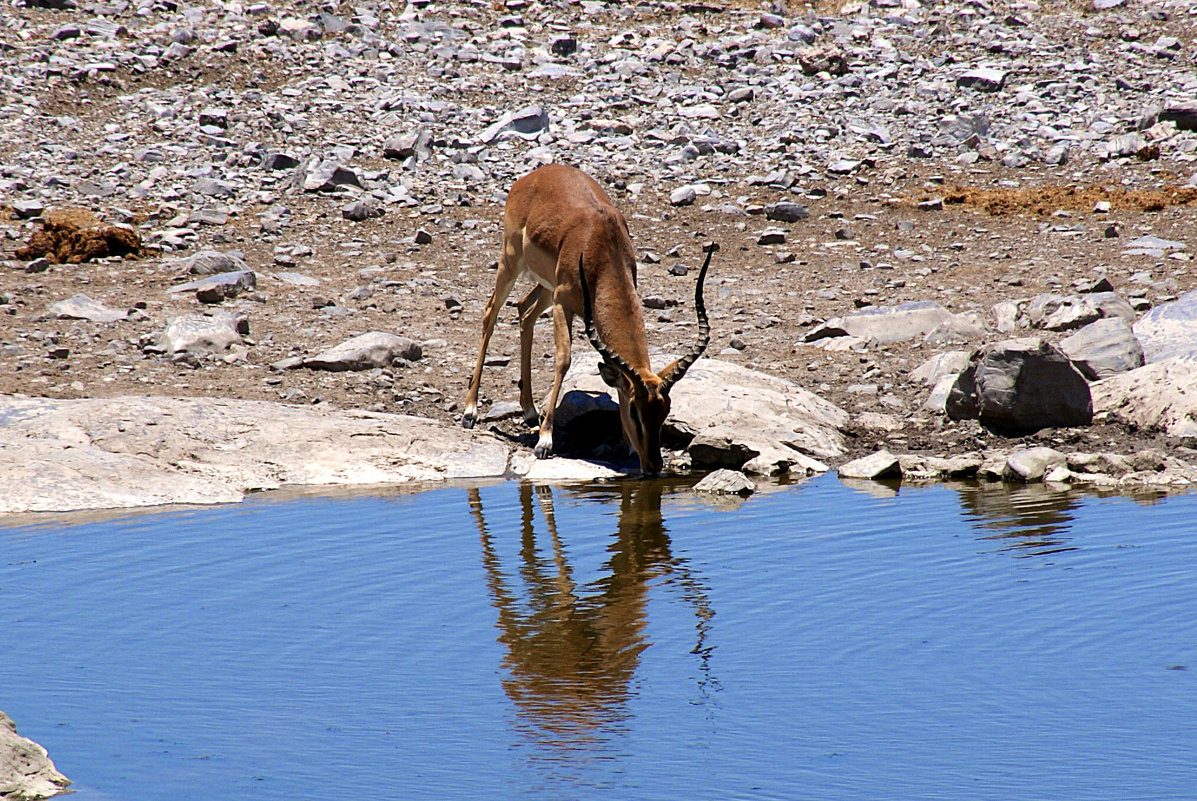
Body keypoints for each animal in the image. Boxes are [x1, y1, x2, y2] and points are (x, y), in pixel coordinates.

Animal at [459, 162, 708, 474]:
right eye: (634, 410)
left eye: (665, 410)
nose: (653, 465)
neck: (602, 245)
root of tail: (534, 175)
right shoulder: (563, 303)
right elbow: (563, 360)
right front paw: (545, 442)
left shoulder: (563, 297)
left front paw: (626, 445)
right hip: (511, 261)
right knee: (490, 313)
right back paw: (470, 411)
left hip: (546, 285)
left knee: (525, 311)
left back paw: (529, 411)